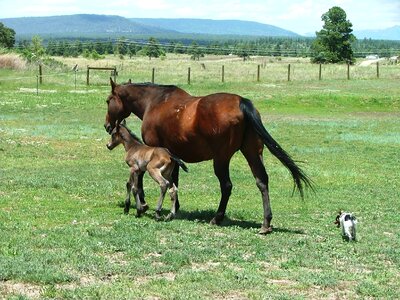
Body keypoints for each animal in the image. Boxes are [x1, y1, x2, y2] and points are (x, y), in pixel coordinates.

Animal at [104, 78, 314, 233]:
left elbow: (141, 180)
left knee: (227, 186)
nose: (107, 126)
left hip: (221, 159)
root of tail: (242, 102)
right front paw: (175, 208)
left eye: (108, 101)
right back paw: (266, 223)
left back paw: (217, 218)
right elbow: (174, 181)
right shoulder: (173, 156)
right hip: (252, 152)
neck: (154, 102)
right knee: (262, 181)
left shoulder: (151, 151)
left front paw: (144, 205)